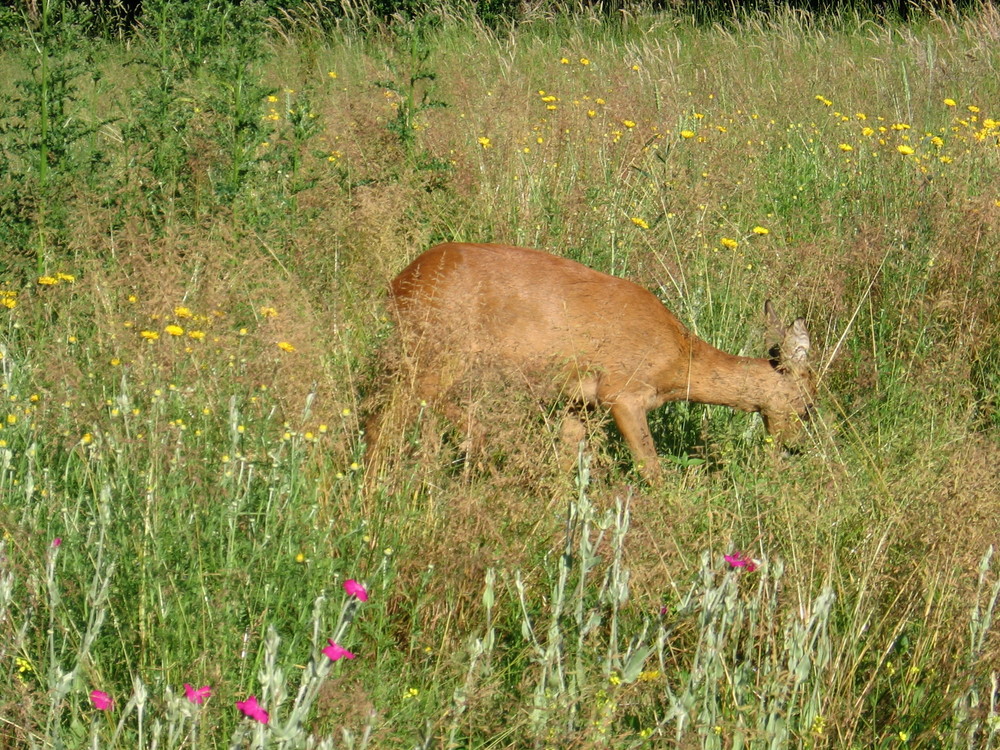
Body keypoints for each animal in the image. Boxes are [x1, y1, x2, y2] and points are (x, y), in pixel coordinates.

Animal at [368, 244, 812, 484]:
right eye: (808, 405)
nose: (795, 448)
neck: (678, 361)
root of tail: (399, 282)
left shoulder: (578, 404)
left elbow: (566, 465)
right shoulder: (622, 393)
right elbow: (651, 466)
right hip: (445, 349)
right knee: (400, 409)